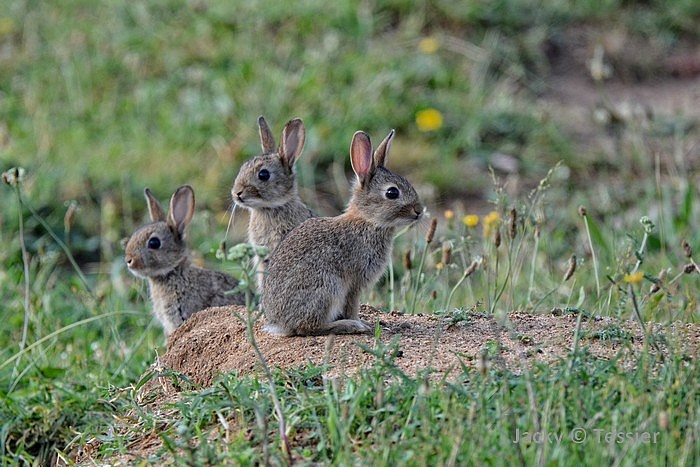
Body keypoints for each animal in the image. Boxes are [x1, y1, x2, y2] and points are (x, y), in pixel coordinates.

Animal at [262, 129, 424, 336]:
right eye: (392, 193)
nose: (419, 211)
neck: (368, 221)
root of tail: (280, 323)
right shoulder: (355, 282)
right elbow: (352, 305)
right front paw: (362, 323)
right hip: (328, 287)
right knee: (308, 327)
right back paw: (349, 325)